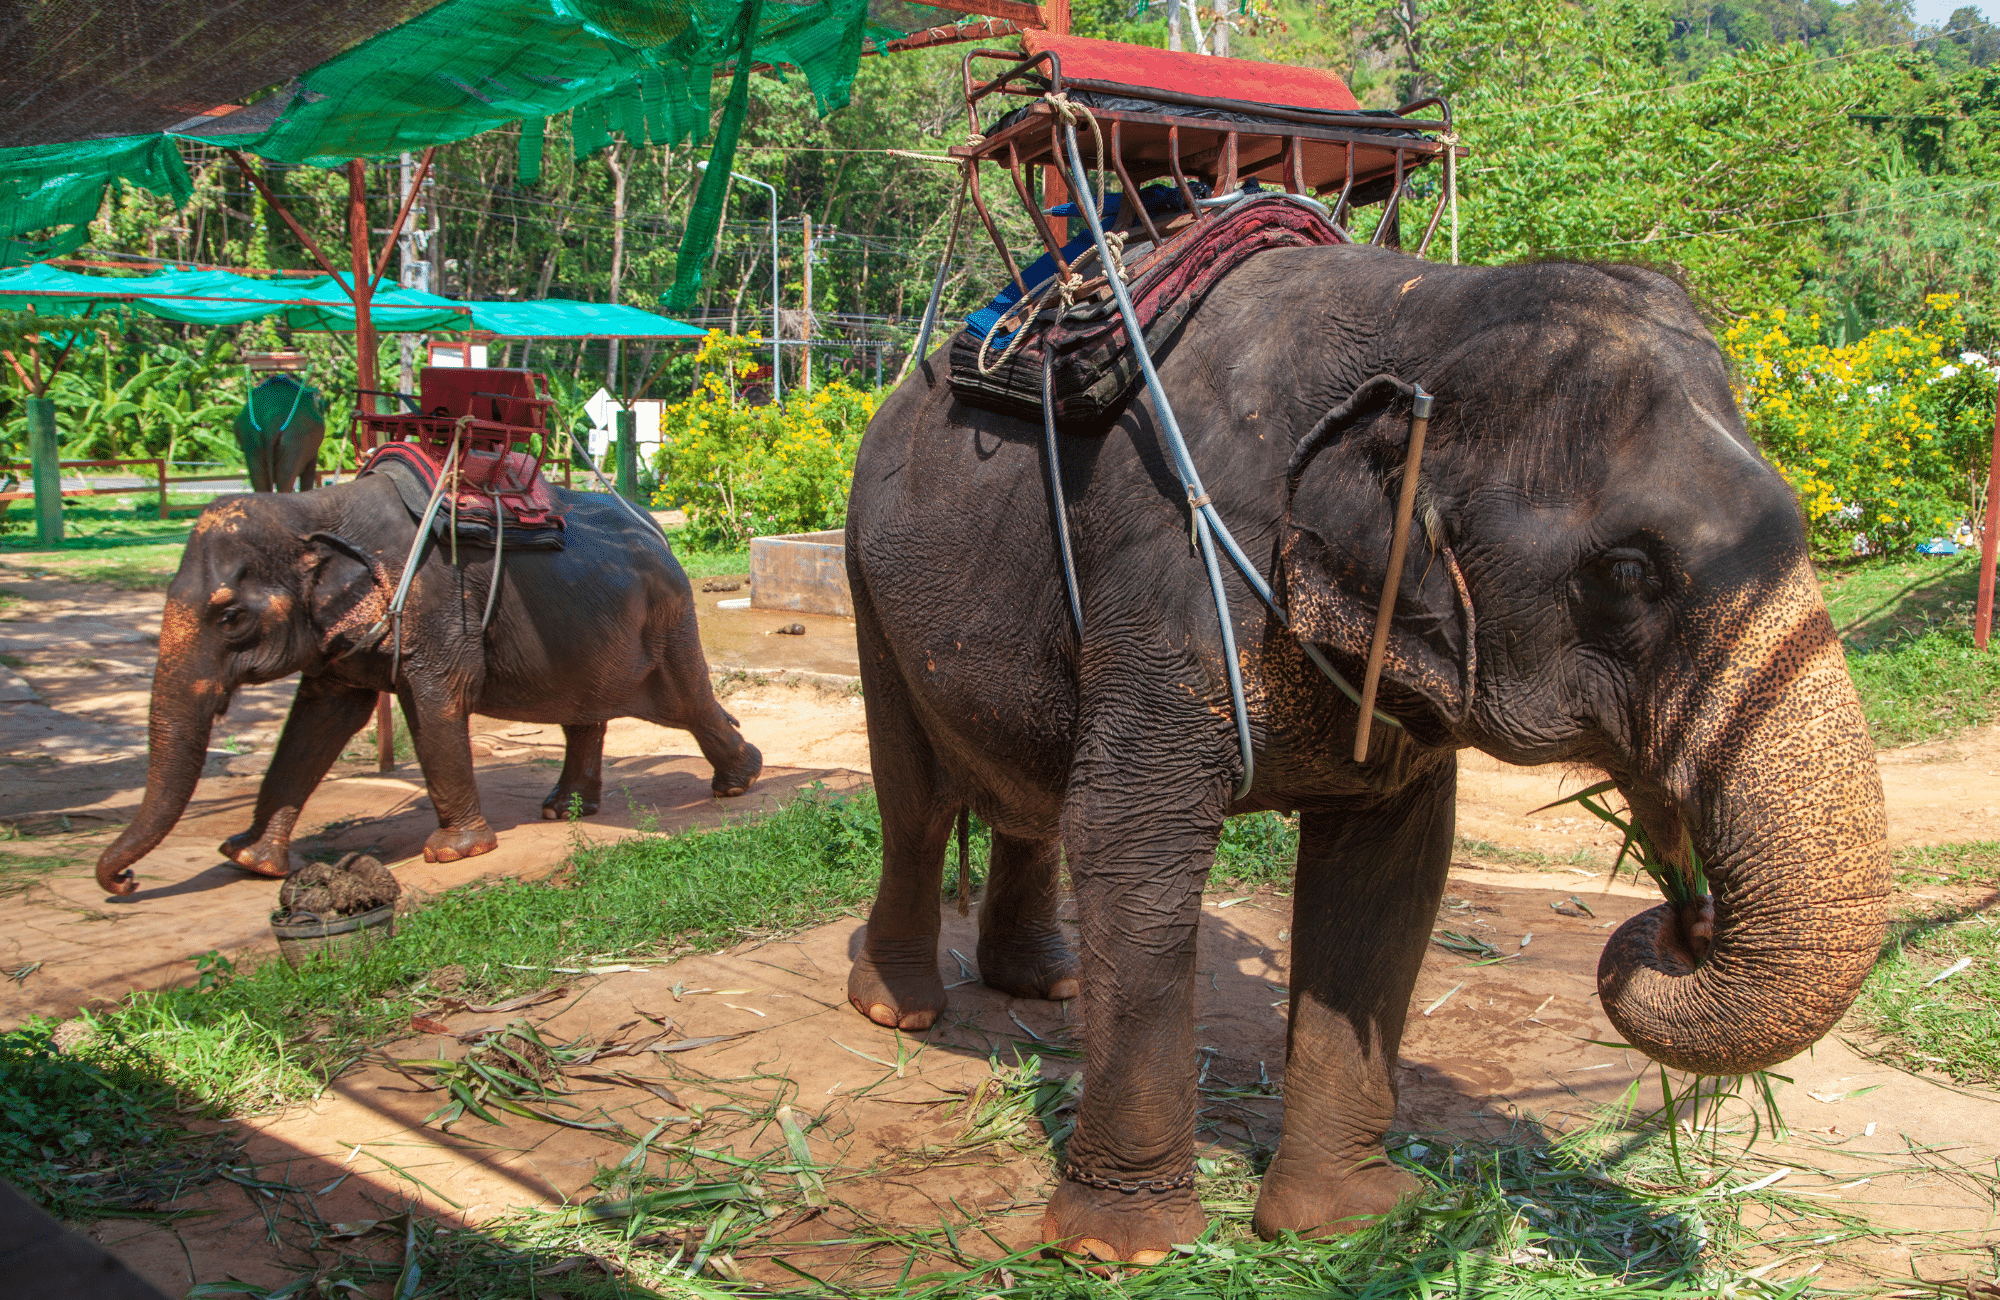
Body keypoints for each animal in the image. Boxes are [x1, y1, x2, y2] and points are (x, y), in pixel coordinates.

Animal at [94, 472, 762, 895]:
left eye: (230, 616)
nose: (124, 881)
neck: (316, 508)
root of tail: (655, 527)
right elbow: (322, 716)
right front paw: (251, 862)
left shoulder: (441, 606)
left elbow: (438, 702)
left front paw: (452, 854)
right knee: (588, 713)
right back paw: (563, 810)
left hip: (667, 621)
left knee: (687, 704)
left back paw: (740, 779)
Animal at [842, 246, 1891, 1263]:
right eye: (1628, 573)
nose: (1688, 920)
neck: (1425, 313)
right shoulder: (1167, 585)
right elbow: (1131, 839)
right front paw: (1121, 1249)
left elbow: (1389, 874)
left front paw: (1349, 1220)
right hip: (866, 582)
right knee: (918, 801)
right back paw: (898, 1011)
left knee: (1027, 794)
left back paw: (1043, 983)